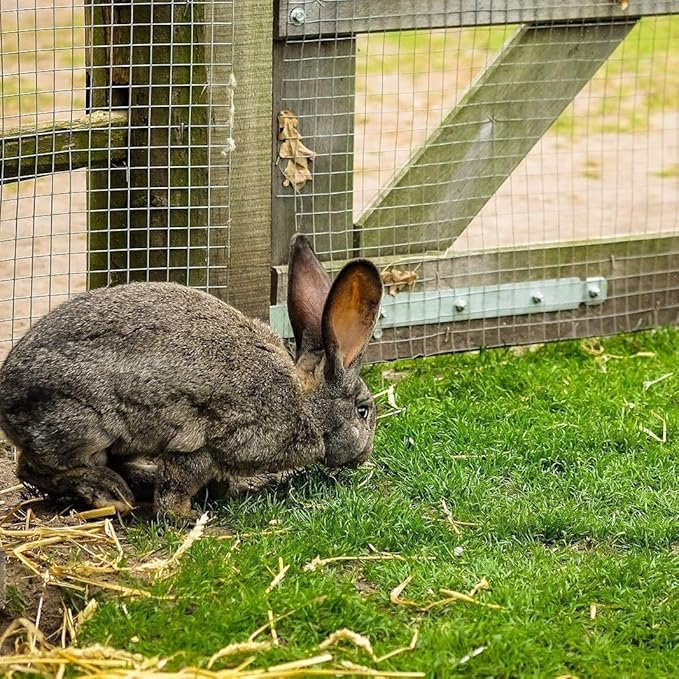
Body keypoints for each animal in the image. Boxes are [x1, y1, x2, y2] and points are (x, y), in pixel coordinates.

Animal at [0, 234, 383, 518]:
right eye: (363, 411)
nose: (365, 455)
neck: (305, 403)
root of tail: (6, 395)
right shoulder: (208, 445)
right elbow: (177, 486)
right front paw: (185, 516)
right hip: (82, 426)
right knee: (33, 469)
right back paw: (110, 494)